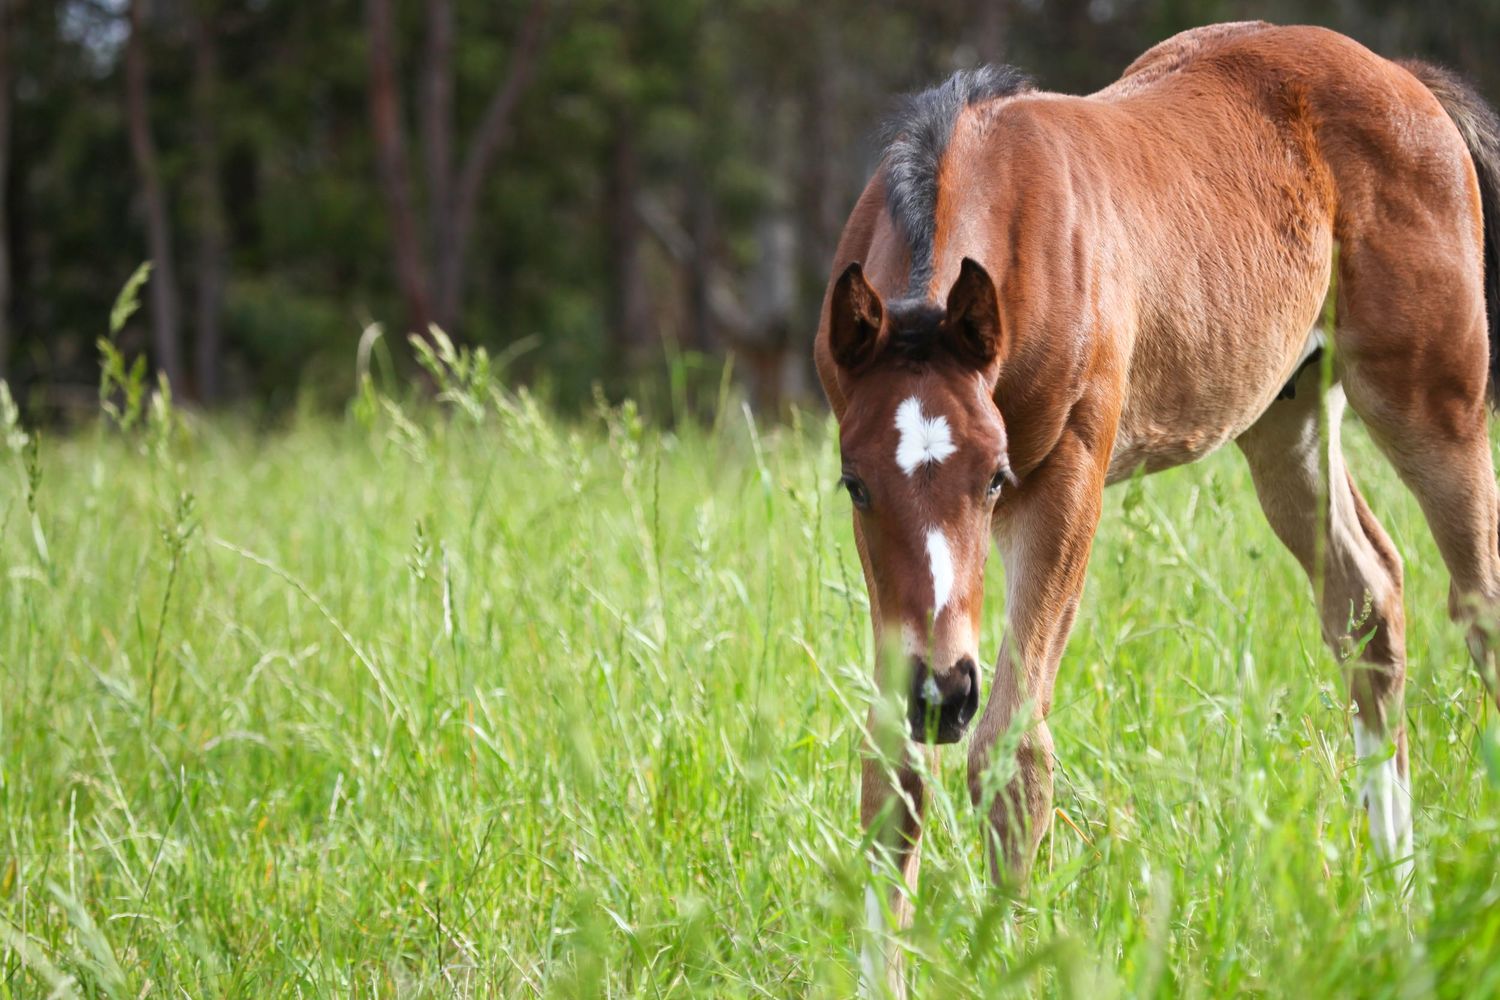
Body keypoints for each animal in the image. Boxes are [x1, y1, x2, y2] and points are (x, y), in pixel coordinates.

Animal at [813, 22, 1500, 996]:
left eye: (993, 479)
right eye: (857, 484)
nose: (945, 693)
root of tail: (1403, 78)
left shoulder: (1068, 473)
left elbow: (1012, 751)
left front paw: (1007, 957)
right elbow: (890, 767)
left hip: (1434, 400)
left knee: (1479, 603)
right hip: (1286, 417)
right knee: (1368, 599)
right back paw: (1397, 907)